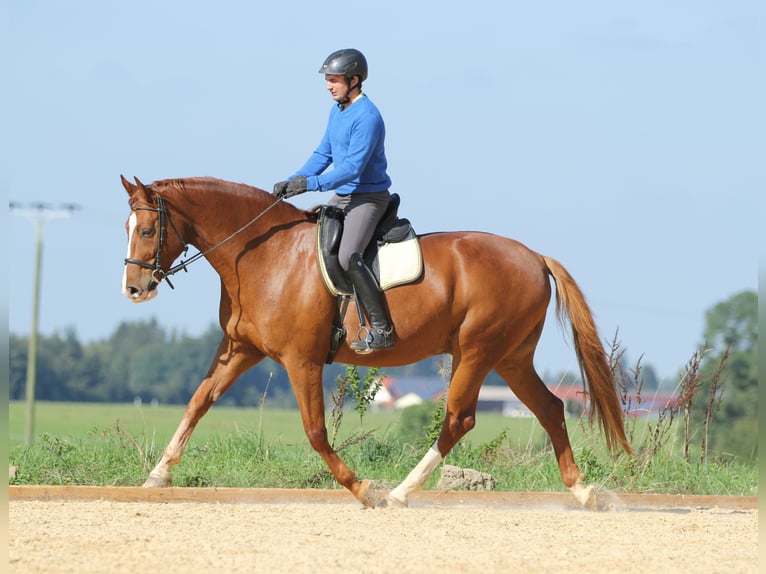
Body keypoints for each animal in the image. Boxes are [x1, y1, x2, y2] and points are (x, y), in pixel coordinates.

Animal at [120, 175, 631, 508]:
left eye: (146, 230)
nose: (133, 289)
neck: (264, 255)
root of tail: (535, 257)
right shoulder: (241, 351)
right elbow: (198, 402)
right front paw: (158, 474)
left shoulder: (301, 361)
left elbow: (315, 432)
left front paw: (364, 488)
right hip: (511, 358)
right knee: (549, 408)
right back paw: (584, 491)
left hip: (478, 351)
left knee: (459, 419)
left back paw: (400, 492)